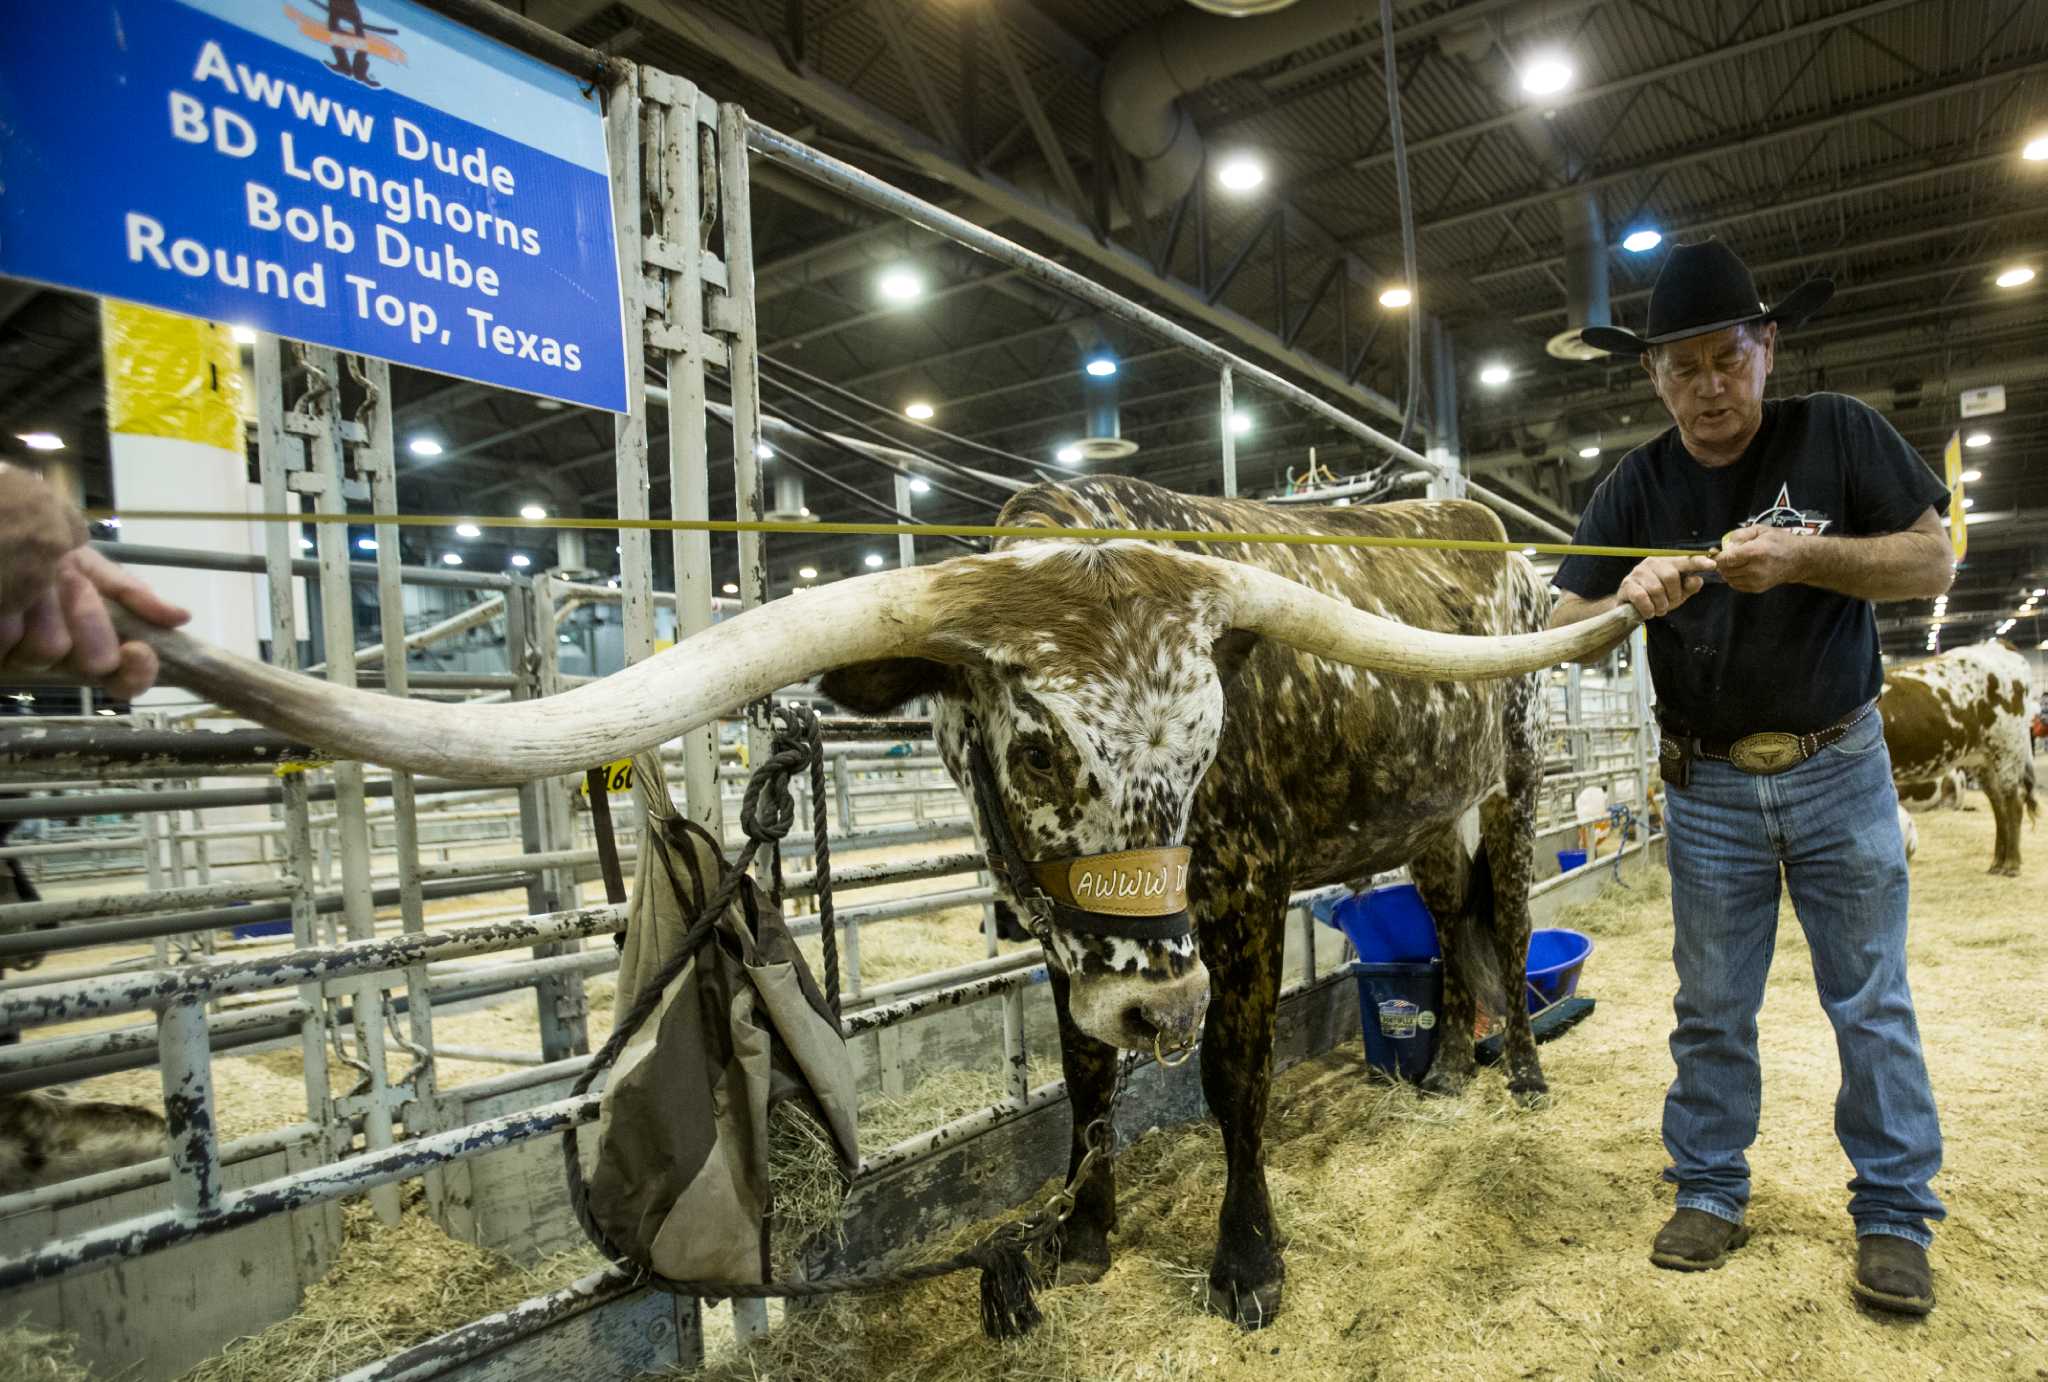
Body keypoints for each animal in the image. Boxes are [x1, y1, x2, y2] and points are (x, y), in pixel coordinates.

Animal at [116, 472, 1646, 1326]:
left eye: (1208, 741)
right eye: (1036, 747)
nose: (1157, 999)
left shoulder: (1241, 896)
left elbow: (1234, 1077)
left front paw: (1245, 1260)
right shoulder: (1059, 931)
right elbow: (1084, 1081)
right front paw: (1079, 1237)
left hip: (1516, 780)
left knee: (1508, 922)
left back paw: (1517, 1075)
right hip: (1430, 816)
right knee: (1448, 923)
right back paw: (1442, 1064)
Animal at [1875, 646, 2039, 876]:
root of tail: (1998, 645)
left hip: (2007, 747)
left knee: (2014, 802)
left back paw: (2011, 864)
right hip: (1983, 760)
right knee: (1998, 805)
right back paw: (1997, 863)